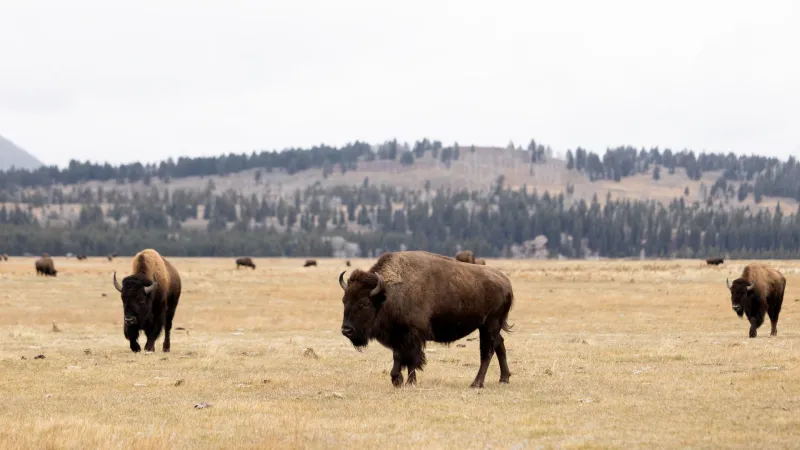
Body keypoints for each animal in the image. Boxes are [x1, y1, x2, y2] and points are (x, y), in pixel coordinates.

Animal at [338, 250, 514, 388]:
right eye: (344, 300)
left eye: (364, 304)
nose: (346, 330)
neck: (387, 294)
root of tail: (506, 282)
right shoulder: (398, 336)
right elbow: (398, 356)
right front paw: (397, 380)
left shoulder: (413, 335)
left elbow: (412, 359)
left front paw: (409, 382)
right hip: (490, 326)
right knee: (500, 344)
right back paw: (504, 379)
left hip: (490, 325)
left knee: (487, 352)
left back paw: (476, 383)